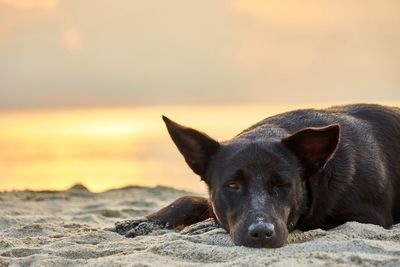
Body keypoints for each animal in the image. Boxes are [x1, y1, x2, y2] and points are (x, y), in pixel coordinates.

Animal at [115, 104, 400, 249]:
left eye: (282, 184)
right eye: (232, 185)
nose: (261, 233)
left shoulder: (365, 216)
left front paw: (204, 224)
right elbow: (189, 199)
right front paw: (143, 222)